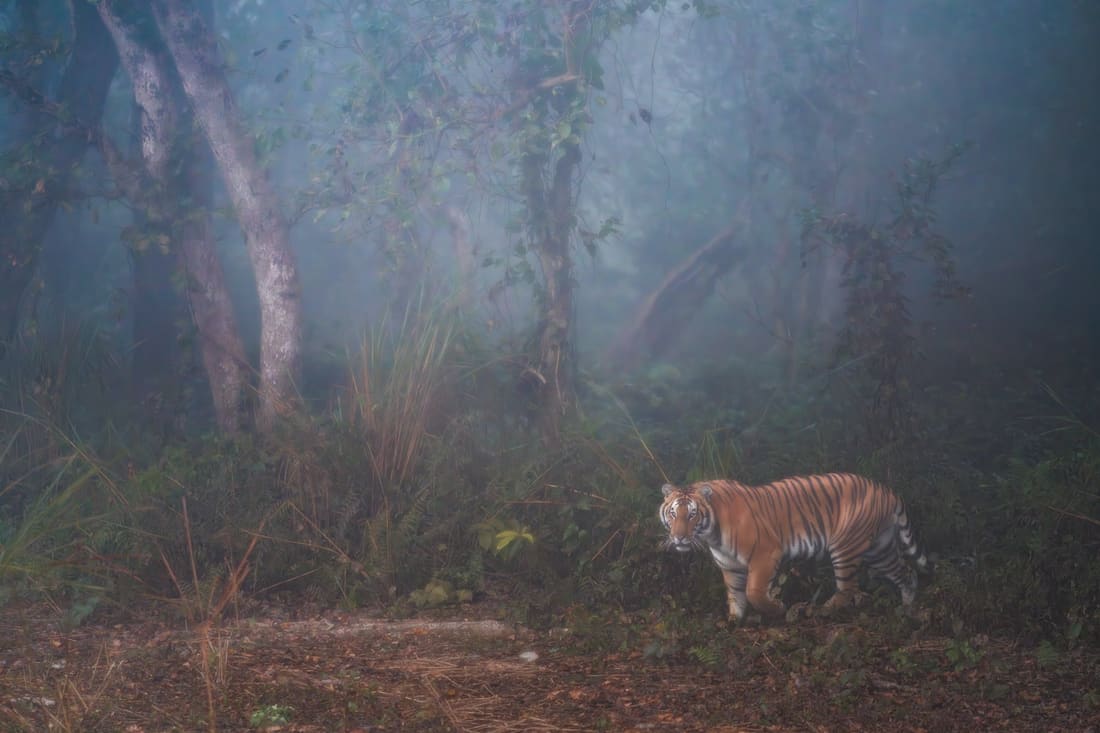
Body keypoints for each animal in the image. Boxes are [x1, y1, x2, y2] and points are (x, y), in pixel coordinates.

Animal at [658, 472, 930, 623]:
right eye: (673, 514)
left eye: (692, 514)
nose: (679, 538)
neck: (711, 534)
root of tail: (886, 489)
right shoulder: (730, 566)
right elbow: (735, 595)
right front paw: (735, 620)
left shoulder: (766, 554)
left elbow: (754, 592)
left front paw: (777, 609)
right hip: (879, 549)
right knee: (907, 573)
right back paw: (909, 609)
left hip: (846, 547)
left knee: (848, 589)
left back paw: (820, 611)